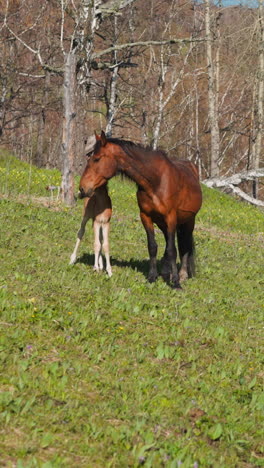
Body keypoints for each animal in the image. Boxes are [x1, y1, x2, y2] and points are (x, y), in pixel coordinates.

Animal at [78, 130, 202, 288]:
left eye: (97, 159)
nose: (82, 188)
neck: (156, 181)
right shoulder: (146, 216)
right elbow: (153, 246)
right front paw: (152, 277)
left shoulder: (171, 217)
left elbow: (172, 250)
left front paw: (175, 283)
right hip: (162, 223)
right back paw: (166, 271)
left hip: (188, 221)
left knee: (185, 246)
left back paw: (182, 274)